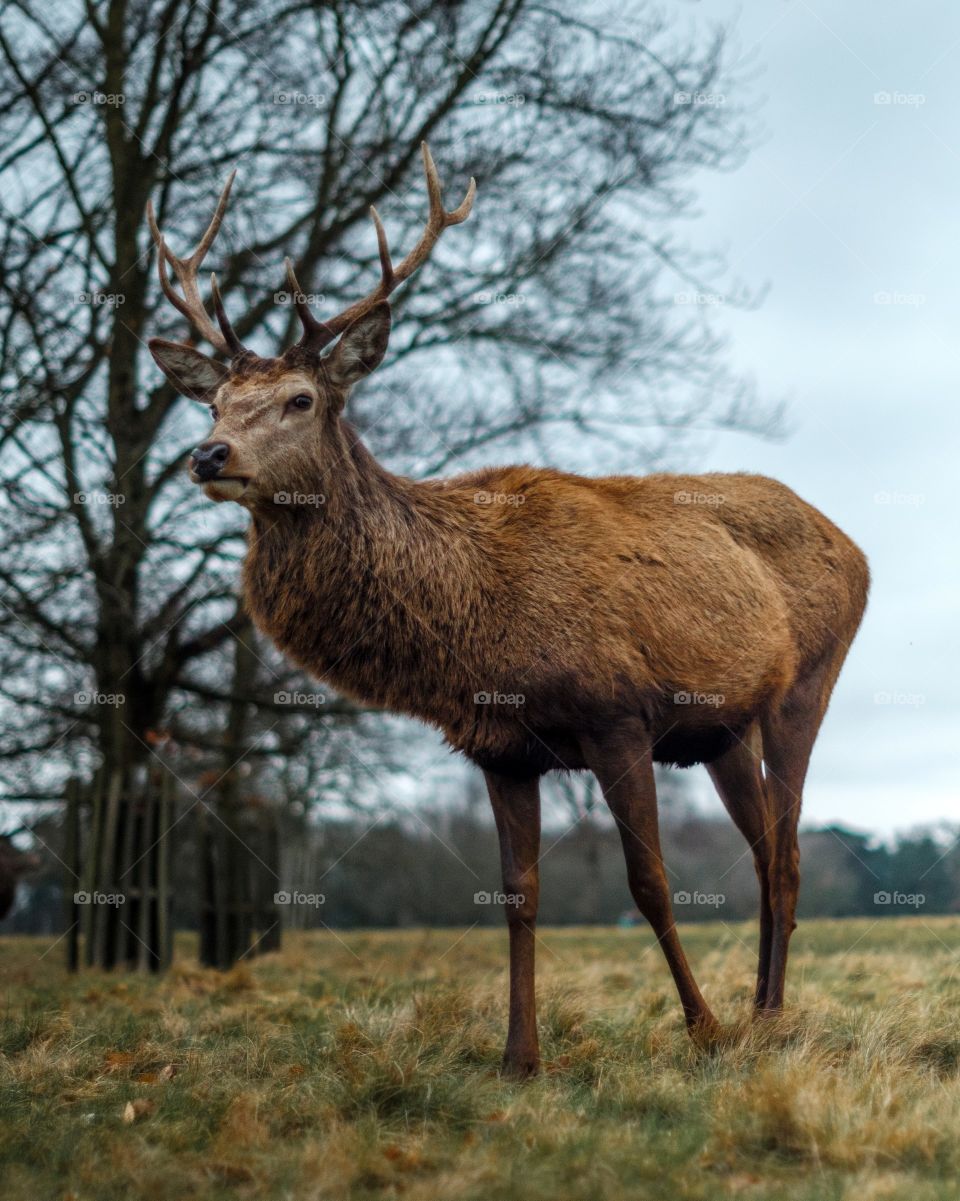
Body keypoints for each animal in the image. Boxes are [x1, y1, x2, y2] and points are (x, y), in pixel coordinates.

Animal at [147, 145, 869, 1078]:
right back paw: (764, 1010)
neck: (477, 621)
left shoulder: (616, 713)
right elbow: (517, 894)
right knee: (763, 852)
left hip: (805, 687)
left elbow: (648, 882)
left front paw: (701, 1029)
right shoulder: (499, 746)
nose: (208, 454)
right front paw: (519, 1057)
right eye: (214, 403)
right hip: (720, 730)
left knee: (787, 856)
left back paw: (764, 1020)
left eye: (300, 398)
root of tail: (856, 545)